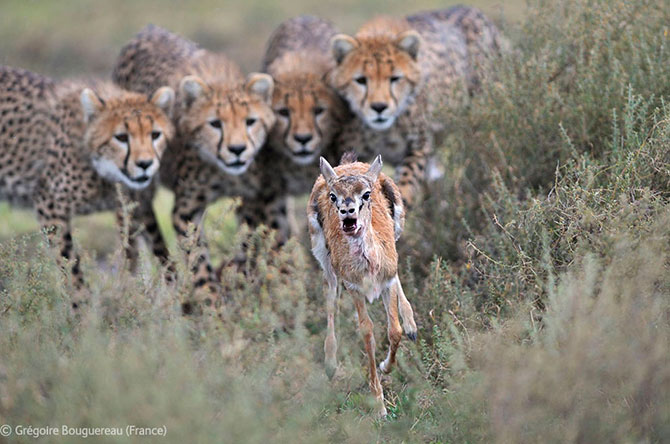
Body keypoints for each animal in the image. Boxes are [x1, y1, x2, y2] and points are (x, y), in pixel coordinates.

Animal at [0, 66, 176, 306]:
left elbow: (158, 252)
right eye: (121, 137)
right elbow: (69, 264)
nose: (145, 164)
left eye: (155, 134)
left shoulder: (137, 205)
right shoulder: (49, 204)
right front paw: (81, 308)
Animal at [113, 26, 276, 306]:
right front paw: (211, 302)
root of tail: (149, 29)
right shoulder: (186, 210)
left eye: (250, 121)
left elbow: (249, 242)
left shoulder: (252, 199)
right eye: (215, 123)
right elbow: (197, 257)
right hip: (136, 185)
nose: (237, 150)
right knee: (139, 232)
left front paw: (241, 278)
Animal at [326, 5, 510, 206]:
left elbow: (405, 184)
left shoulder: (419, 147)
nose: (379, 107)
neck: (382, 131)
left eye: (395, 78)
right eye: (361, 80)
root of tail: (468, 8)